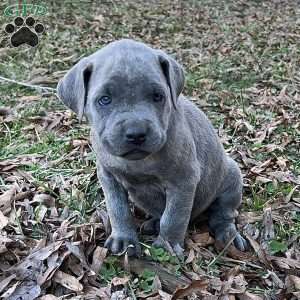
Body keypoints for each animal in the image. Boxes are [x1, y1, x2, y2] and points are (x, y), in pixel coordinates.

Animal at [57, 39, 247, 255]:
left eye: (158, 96)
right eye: (104, 99)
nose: (136, 133)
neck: (138, 163)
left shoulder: (183, 181)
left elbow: (173, 218)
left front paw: (167, 246)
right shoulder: (108, 177)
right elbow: (118, 210)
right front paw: (124, 239)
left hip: (231, 177)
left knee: (223, 214)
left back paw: (228, 235)